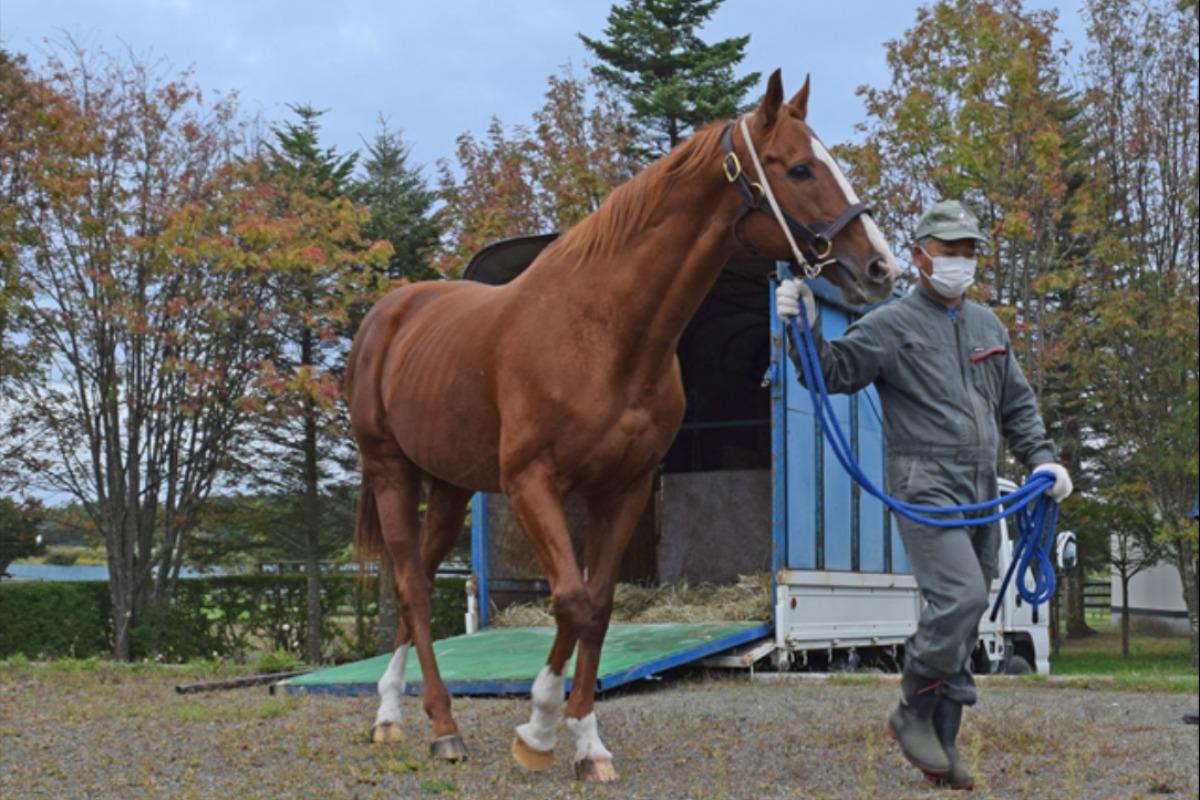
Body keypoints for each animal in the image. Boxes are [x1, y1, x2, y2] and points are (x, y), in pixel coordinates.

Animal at [348, 68, 902, 782]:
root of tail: (391, 314)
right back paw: (438, 727)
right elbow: (572, 600)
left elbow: (600, 605)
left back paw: (393, 713)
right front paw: (538, 728)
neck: (602, 329)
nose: (881, 267)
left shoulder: (624, 488)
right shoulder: (532, 483)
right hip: (392, 470)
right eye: (800, 167)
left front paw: (586, 744)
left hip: (449, 486)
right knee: (413, 587)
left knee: (414, 579)